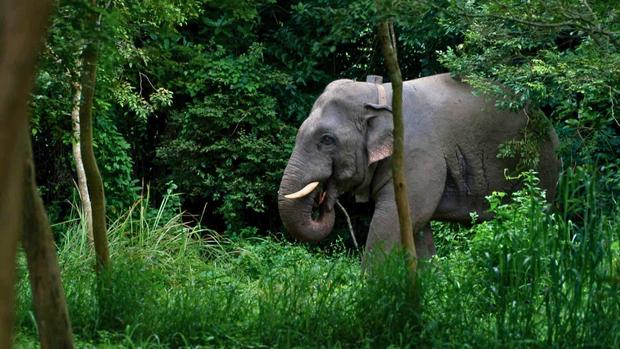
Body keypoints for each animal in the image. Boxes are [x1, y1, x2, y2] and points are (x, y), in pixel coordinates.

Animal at [278, 72, 560, 256]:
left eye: (327, 140)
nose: (324, 203)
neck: (378, 94)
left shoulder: (417, 155)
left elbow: (391, 223)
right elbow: (418, 228)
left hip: (542, 168)